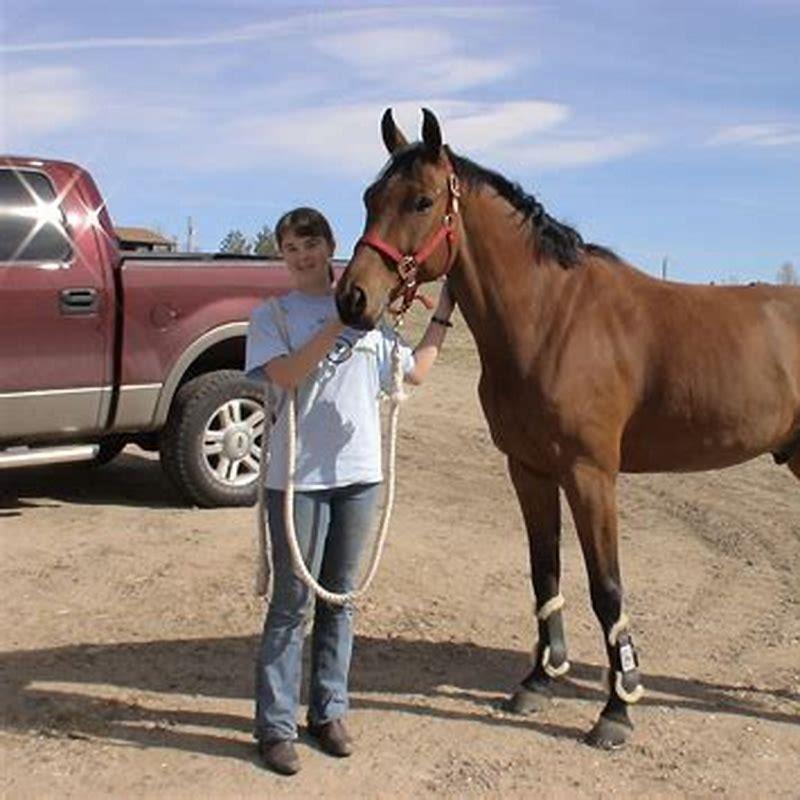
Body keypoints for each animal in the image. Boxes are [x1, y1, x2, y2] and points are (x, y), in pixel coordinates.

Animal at [335, 108, 800, 748]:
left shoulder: (590, 475)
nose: (352, 297)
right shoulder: (529, 469)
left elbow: (607, 588)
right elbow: (545, 571)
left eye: (422, 201)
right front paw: (538, 680)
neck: (553, 316)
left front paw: (617, 708)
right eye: (369, 197)